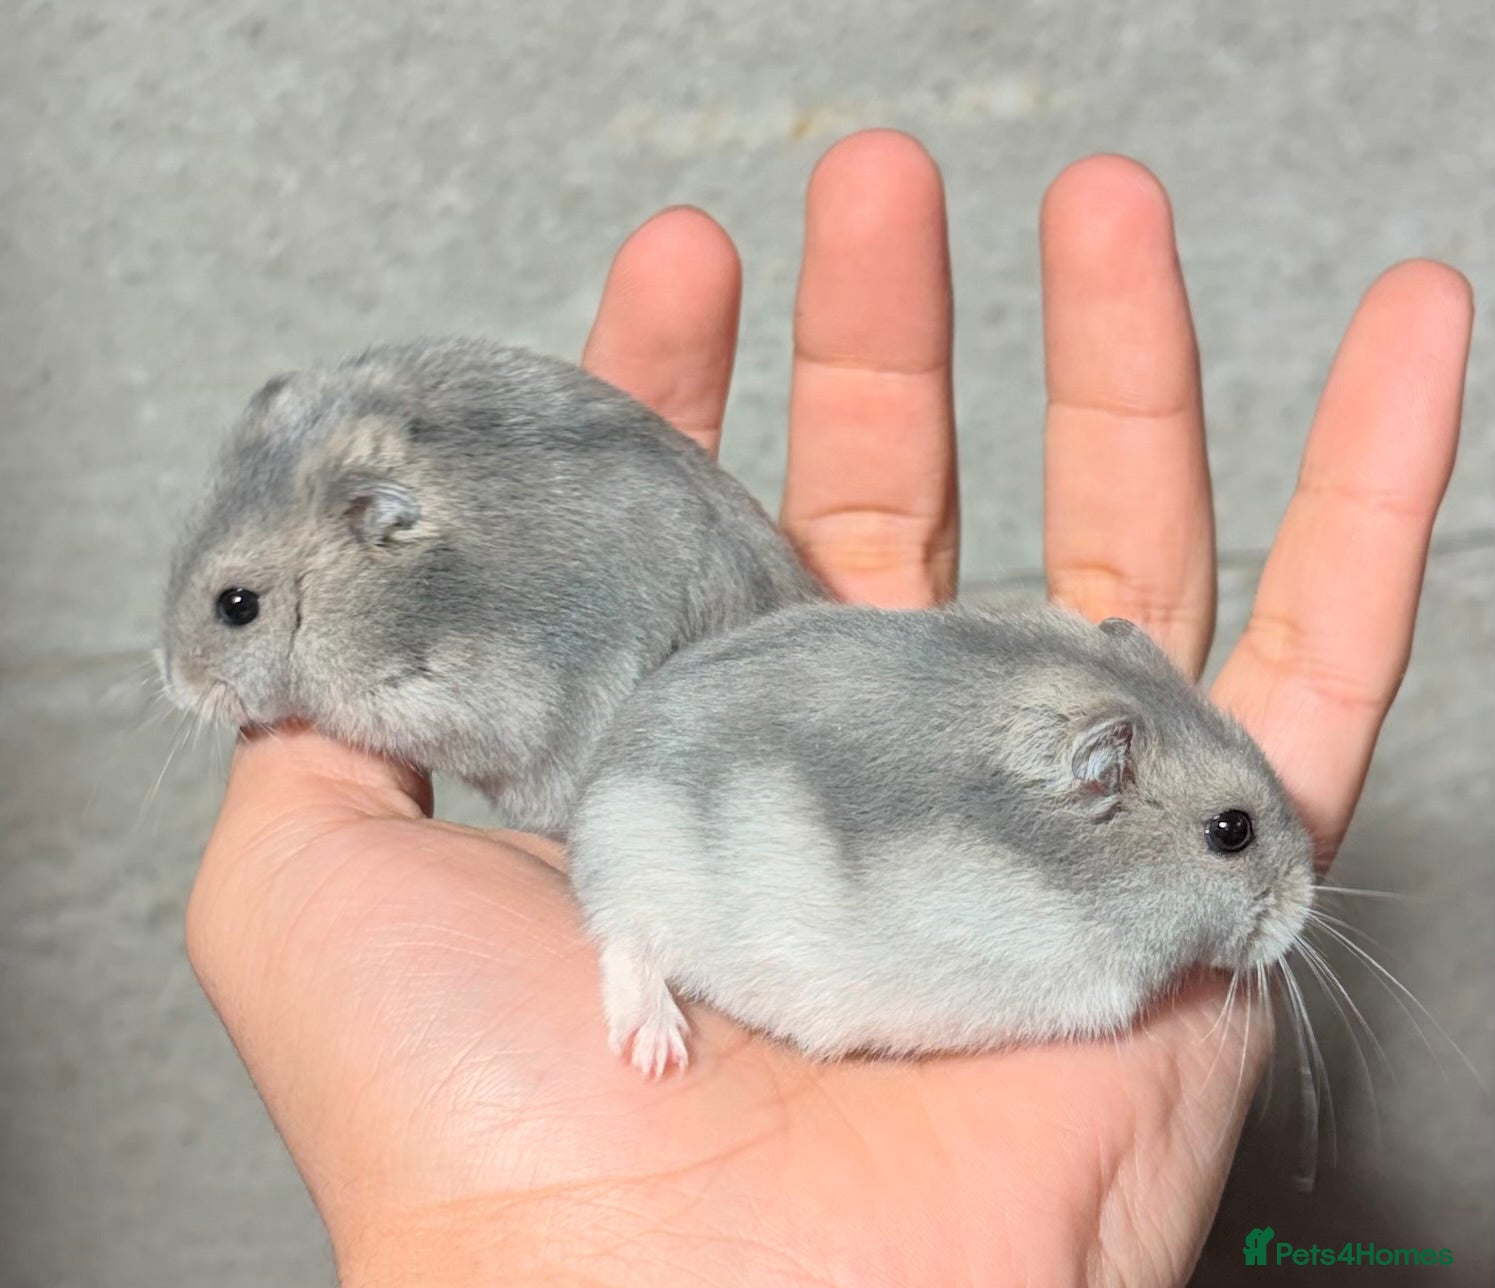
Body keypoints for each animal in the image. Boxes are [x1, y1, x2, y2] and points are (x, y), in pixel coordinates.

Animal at [567, 601, 1316, 1075]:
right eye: (1231, 831)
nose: (1304, 905)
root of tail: (596, 783)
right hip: (639, 863)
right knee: (626, 944)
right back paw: (657, 1052)